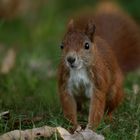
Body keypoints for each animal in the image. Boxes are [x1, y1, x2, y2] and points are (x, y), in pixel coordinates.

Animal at [57, 2, 140, 131]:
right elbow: (69, 107)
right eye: (62, 46)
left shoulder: (99, 81)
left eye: (86, 45)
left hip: (114, 91)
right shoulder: (65, 84)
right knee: (79, 105)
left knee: (111, 106)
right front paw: (74, 127)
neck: (79, 70)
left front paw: (91, 128)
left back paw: (108, 117)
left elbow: (97, 107)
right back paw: (80, 112)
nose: (70, 59)